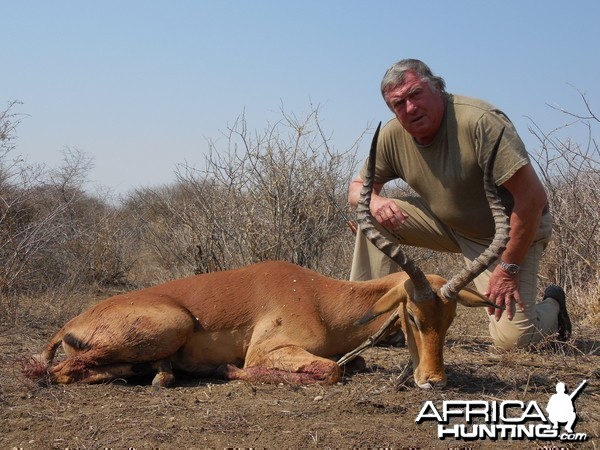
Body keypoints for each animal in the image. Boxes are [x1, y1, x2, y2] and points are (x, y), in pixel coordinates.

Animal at [25, 125, 508, 388]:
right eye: (412, 315)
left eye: (449, 319)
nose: (434, 379)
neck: (322, 298)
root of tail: (73, 322)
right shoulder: (268, 350)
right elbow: (330, 371)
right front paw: (224, 368)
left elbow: (352, 362)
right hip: (172, 324)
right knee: (55, 371)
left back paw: (162, 373)